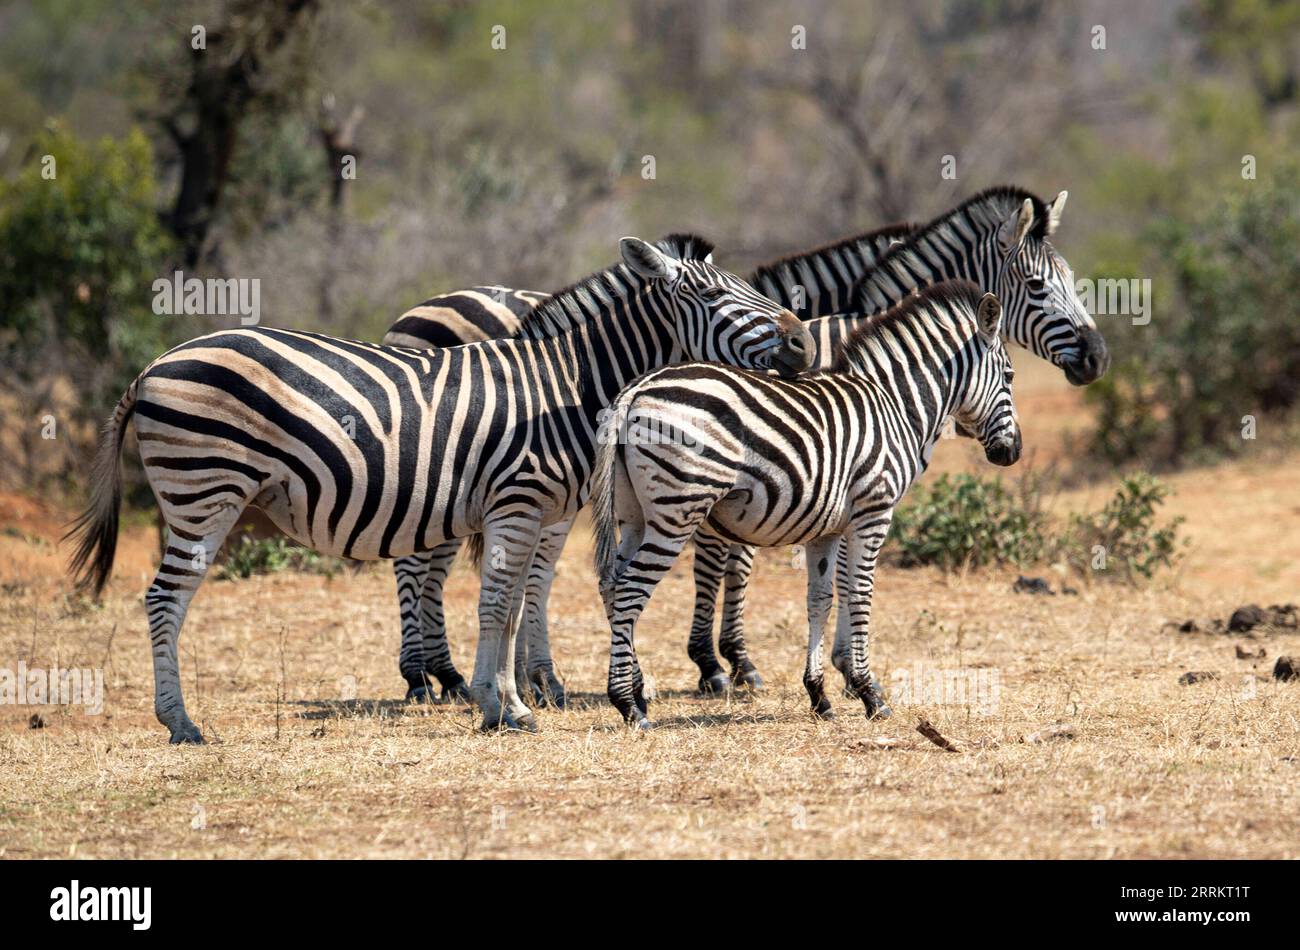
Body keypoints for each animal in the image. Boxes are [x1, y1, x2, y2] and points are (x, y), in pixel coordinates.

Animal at [68, 237, 811, 743]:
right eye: (716, 298)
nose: (804, 342)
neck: (570, 385)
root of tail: (152, 368)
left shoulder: (534, 512)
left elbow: (514, 608)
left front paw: (508, 702)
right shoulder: (518, 503)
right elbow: (498, 606)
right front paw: (502, 705)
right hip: (205, 490)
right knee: (165, 599)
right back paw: (182, 723)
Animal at [379, 219, 920, 701]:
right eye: (712, 295)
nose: (801, 344)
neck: (577, 374)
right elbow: (726, 563)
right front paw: (724, 664)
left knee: (442, 562)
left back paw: (457, 675)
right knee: (416, 560)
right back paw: (424, 677)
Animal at [595, 282, 1019, 727]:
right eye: (1009, 376)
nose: (1012, 453)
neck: (895, 406)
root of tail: (635, 390)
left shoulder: (826, 529)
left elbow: (820, 600)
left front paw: (819, 695)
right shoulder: (873, 513)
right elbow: (861, 594)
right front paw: (869, 693)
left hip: (635, 516)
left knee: (611, 584)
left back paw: (637, 693)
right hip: (677, 510)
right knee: (630, 590)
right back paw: (628, 704)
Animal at [686, 184, 1112, 696]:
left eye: (1071, 279)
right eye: (1036, 286)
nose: (1097, 358)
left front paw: (843, 667)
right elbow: (846, 573)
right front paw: (850, 670)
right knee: (717, 552)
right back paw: (717, 663)